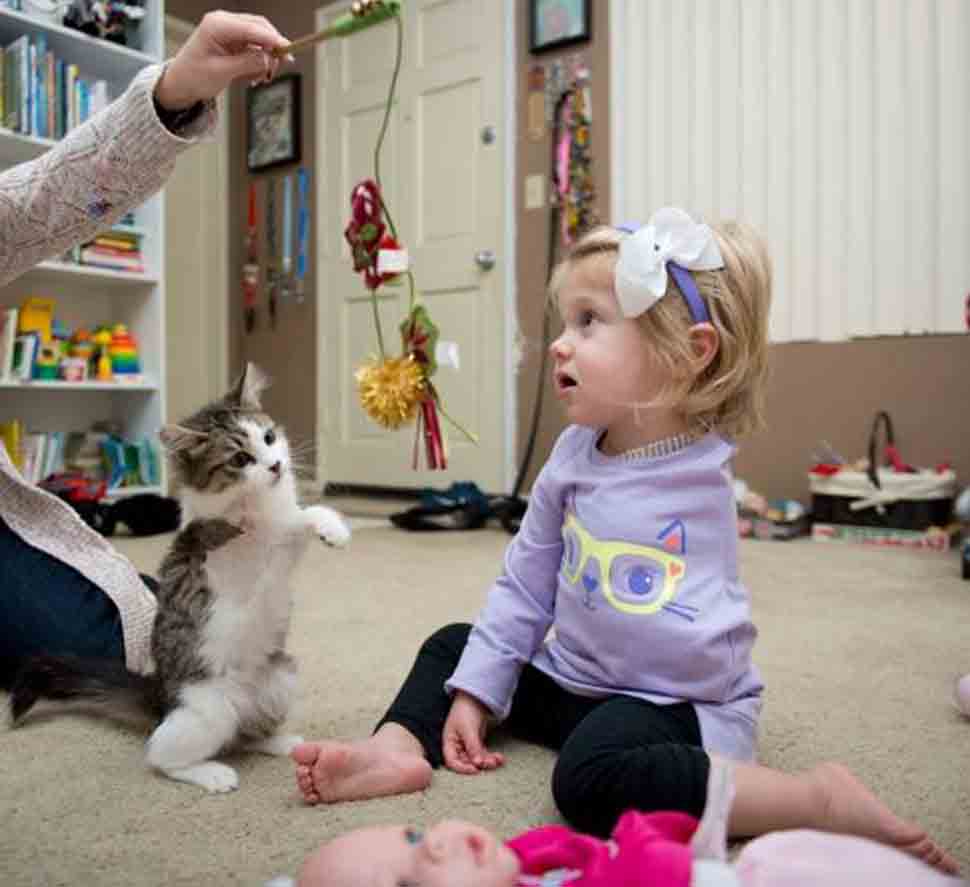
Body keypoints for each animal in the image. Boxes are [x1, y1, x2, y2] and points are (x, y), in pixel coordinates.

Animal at [9, 364, 350, 796]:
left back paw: (280, 741)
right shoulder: (229, 553)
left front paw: (332, 528)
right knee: (161, 755)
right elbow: (264, 530)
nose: (275, 466)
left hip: (283, 677)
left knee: (246, 734)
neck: (258, 507)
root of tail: (160, 696)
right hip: (208, 711)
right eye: (240, 458)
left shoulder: (282, 549)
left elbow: (302, 517)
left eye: (269, 438)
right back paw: (213, 774)